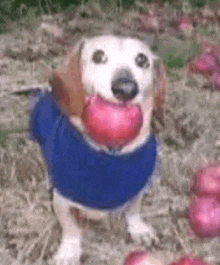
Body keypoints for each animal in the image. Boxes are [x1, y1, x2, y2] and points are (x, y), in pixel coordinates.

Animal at [30, 34, 166, 262]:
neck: (110, 151)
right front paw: (69, 251)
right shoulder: (62, 199)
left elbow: (134, 209)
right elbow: (71, 227)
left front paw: (139, 229)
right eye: (98, 56)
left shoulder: (138, 188)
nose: (126, 89)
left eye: (142, 60)